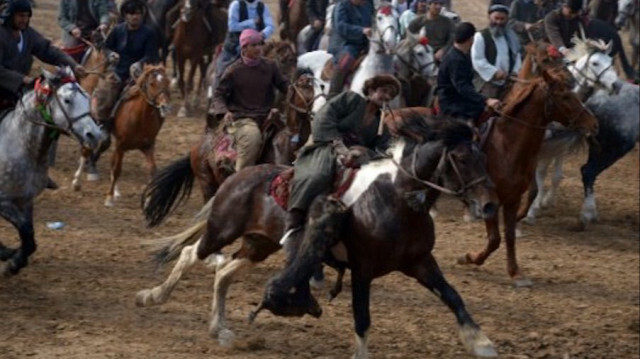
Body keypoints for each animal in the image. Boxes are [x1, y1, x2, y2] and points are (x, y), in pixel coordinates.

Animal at [0, 67, 104, 276]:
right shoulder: (4, 202)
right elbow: (26, 231)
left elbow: (29, 236)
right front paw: (12, 263)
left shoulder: (26, 201)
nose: (95, 135)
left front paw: (15, 259)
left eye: (88, 97)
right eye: (67, 100)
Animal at [102, 63, 169, 207]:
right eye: (152, 83)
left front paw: (149, 199)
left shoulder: (148, 146)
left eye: (166, 82)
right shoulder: (120, 145)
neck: (139, 118)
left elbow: (152, 170)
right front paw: (109, 198)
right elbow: (117, 169)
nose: (165, 107)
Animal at [136, 118, 500, 358]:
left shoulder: (420, 262)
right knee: (189, 254)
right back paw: (153, 296)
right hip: (222, 230)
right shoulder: (363, 269)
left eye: (484, 158)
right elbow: (362, 317)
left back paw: (220, 330)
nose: (488, 205)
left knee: (223, 274)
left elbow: (453, 296)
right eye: (462, 159)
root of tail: (238, 176)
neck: (395, 199)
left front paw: (481, 343)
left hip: (259, 244)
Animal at [456, 67, 600, 286]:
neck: (505, 146)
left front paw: (515, 271)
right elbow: (494, 239)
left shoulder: (513, 198)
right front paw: (470, 258)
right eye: (565, 96)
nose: (594, 124)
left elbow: (509, 235)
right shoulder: (492, 200)